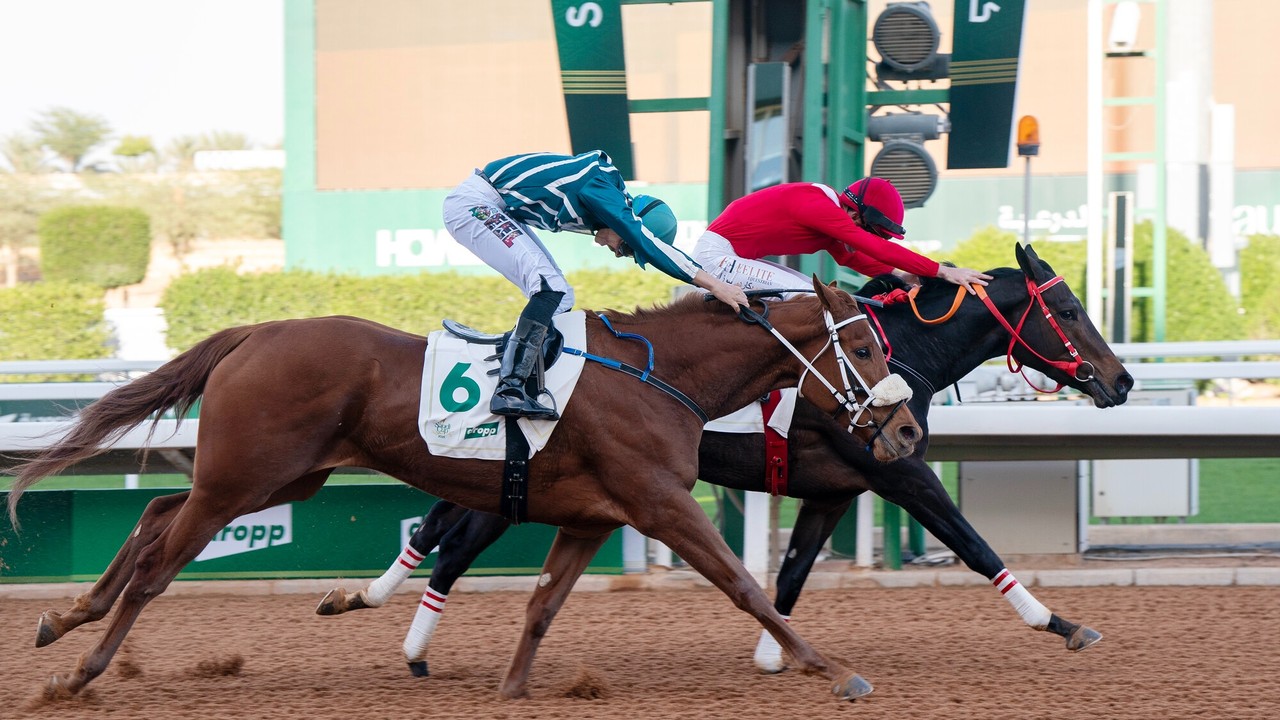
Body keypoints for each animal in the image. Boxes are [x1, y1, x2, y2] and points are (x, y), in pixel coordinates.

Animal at [0, 275, 921, 702]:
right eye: (864, 347)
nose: (910, 432)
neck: (661, 378)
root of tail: (257, 331)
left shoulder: (593, 518)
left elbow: (543, 604)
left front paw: (512, 690)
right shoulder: (662, 504)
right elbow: (742, 585)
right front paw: (831, 668)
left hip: (280, 477)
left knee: (157, 512)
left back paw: (65, 616)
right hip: (244, 478)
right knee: (159, 565)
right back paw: (81, 670)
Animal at [317, 240, 1131, 671]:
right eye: (1068, 310)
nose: (1121, 380)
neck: (899, 354)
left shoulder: (834, 489)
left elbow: (794, 570)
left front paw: (776, 653)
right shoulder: (897, 470)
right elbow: (973, 543)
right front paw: (1060, 623)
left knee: (441, 527)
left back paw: (371, 605)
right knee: (453, 545)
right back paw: (405, 635)